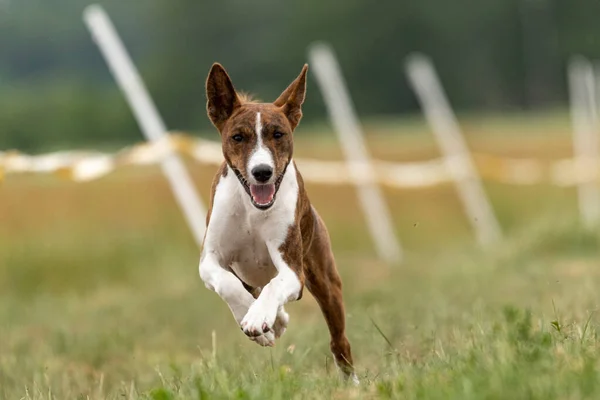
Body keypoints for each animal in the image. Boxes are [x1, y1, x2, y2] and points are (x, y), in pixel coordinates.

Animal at [198, 62, 356, 384]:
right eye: (238, 137)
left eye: (278, 134)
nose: (262, 172)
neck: (251, 209)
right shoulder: (210, 259)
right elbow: (228, 285)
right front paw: (259, 323)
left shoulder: (293, 269)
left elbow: (275, 286)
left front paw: (259, 318)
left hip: (325, 281)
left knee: (340, 341)